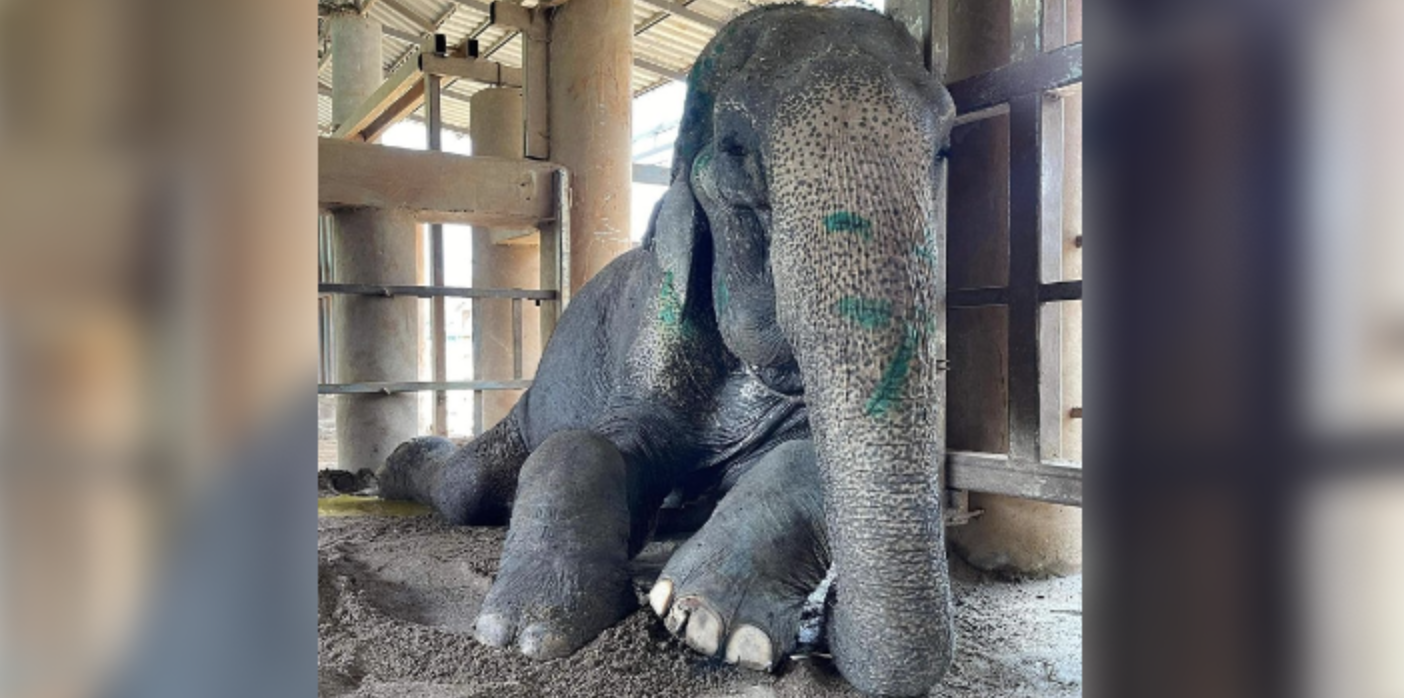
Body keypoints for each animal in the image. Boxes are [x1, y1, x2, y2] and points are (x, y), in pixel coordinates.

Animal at [377, 6, 956, 696]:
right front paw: (527, 632)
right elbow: (586, 442)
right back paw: (389, 469)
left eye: (945, 147)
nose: (828, 633)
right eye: (735, 150)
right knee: (466, 488)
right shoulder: (655, 325)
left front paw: (709, 624)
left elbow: (805, 453)